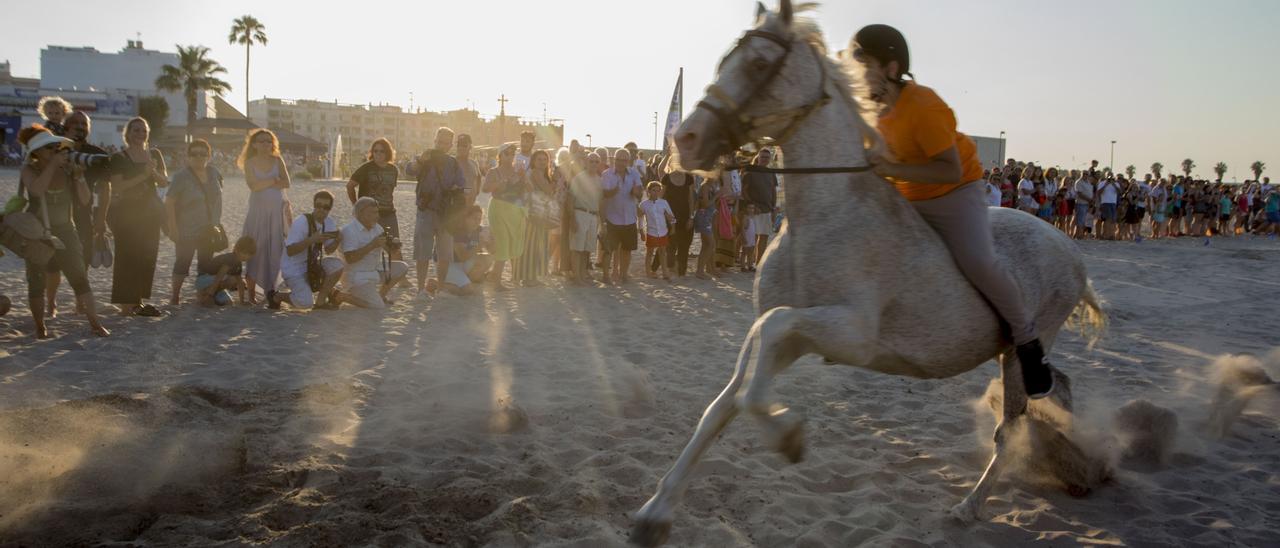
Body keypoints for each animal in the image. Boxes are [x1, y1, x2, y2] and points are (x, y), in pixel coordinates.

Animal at [627, 2, 1100, 545]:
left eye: (759, 63)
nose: (684, 140)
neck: (820, 218)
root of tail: (1070, 250)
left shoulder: (850, 334)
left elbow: (767, 348)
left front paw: (788, 436)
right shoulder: (788, 337)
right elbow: (725, 403)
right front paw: (654, 514)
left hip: (1025, 344)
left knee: (1015, 425)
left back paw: (971, 506)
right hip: (1014, 353)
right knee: (1055, 388)